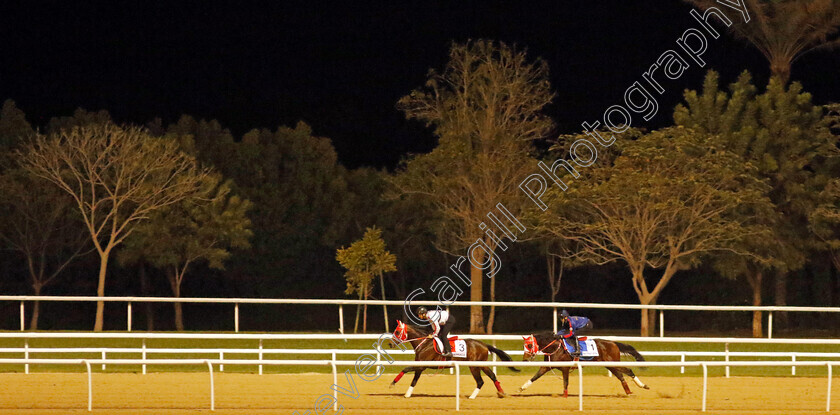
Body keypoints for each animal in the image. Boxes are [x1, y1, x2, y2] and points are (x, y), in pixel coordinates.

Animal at [388, 322, 520, 400]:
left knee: (480, 381)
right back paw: (501, 393)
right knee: (492, 376)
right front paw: (407, 394)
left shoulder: (423, 365)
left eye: (397, 332)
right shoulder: (420, 366)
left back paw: (472, 397)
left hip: (474, 366)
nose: (389, 344)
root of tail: (484, 345)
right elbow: (414, 380)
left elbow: (405, 369)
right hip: (482, 364)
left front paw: (393, 383)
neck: (424, 343)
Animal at [520, 334, 648, 398]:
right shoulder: (547, 367)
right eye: (524, 345)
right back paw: (628, 392)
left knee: (629, 370)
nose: (525, 359)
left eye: (529, 345)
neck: (556, 348)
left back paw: (643, 385)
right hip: (610, 365)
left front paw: (564, 396)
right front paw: (522, 387)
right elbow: (535, 377)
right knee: (621, 376)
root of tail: (613, 343)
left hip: (613, 363)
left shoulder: (565, 368)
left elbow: (565, 382)